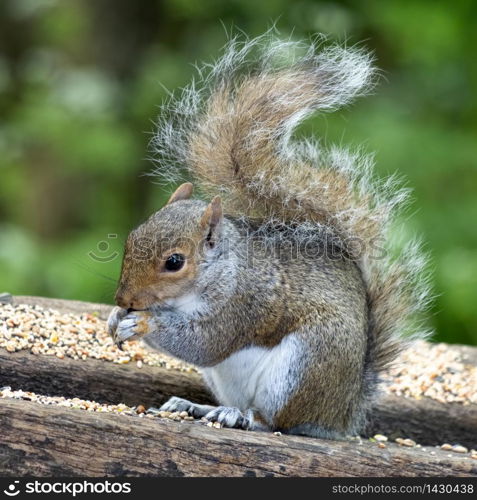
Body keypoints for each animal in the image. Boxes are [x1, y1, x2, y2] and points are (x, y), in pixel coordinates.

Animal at [109, 34, 432, 438]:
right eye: (132, 238)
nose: (123, 298)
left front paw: (142, 323)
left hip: (302, 368)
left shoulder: (244, 304)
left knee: (274, 421)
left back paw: (241, 417)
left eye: (174, 262)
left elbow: (204, 343)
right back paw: (199, 407)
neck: (219, 271)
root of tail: (340, 416)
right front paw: (114, 317)